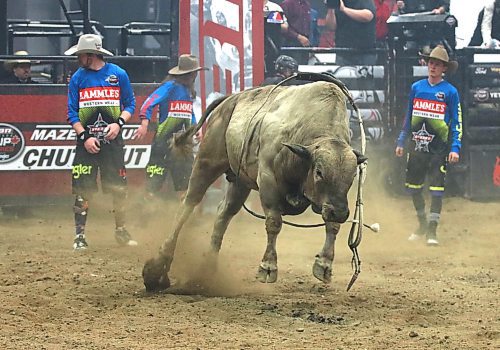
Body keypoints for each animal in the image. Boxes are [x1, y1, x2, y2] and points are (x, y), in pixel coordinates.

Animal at [143, 75, 366, 292]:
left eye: (352, 175)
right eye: (319, 172)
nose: (340, 212)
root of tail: (228, 100)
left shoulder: (333, 200)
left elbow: (332, 225)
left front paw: (324, 265)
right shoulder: (268, 180)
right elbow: (274, 223)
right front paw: (268, 267)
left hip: (239, 181)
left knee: (224, 213)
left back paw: (208, 269)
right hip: (206, 162)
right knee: (187, 206)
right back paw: (157, 268)